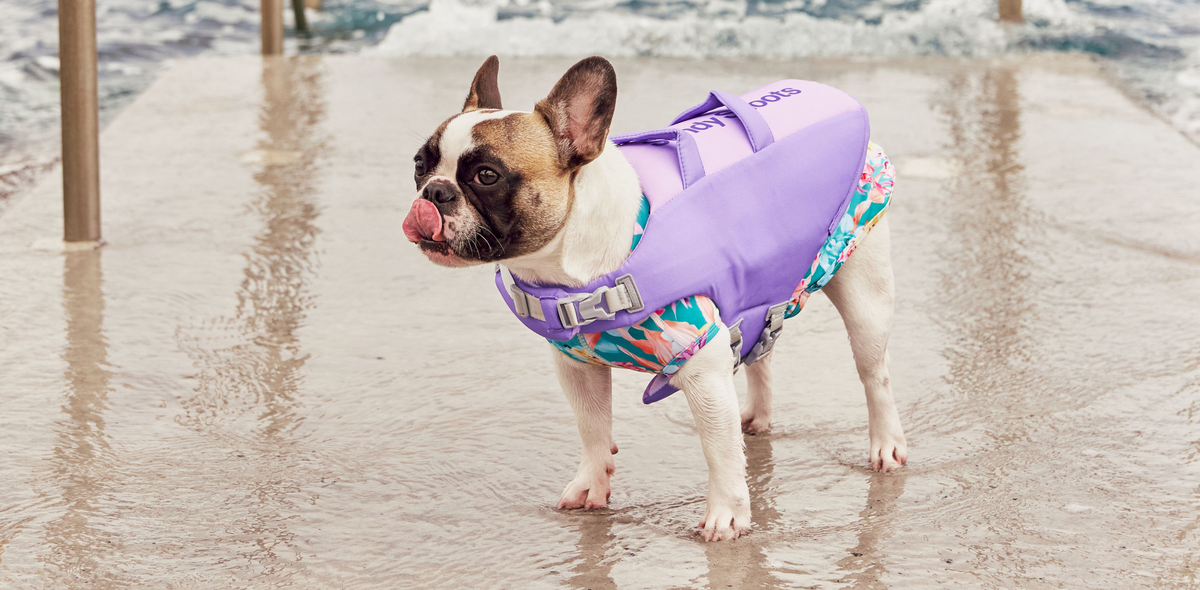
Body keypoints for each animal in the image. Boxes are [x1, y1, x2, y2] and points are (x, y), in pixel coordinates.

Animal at [403, 56, 907, 544]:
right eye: (419, 165)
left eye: (487, 176)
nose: (434, 192)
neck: (576, 265)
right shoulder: (577, 366)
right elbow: (591, 426)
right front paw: (592, 482)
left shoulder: (702, 368)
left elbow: (719, 451)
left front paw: (726, 515)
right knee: (761, 351)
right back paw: (758, 417)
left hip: (863, 289)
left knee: (875, 375)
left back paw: (886, 446)